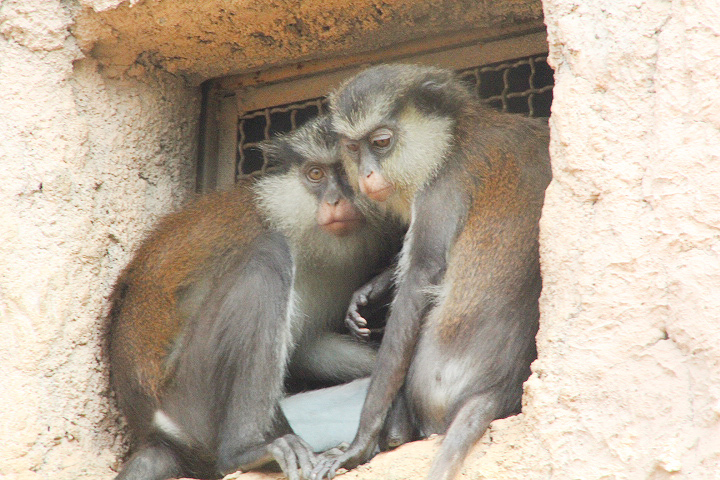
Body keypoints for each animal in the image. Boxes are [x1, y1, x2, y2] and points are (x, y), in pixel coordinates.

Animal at [107, 115, 404, 480]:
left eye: (347, 172)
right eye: (315, 174)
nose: (335, 201)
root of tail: (160, 434)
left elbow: (306, 346)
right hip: (191, 399)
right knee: (268, 258)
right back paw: (244, 452)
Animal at [310, 64, 552, 480]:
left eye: (381, 142)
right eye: (354, 149)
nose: (367, 174)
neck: (455, 133)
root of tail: (494, 391)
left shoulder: (441, 188)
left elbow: (421, 277)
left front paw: (358, 444)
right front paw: (370, 291)